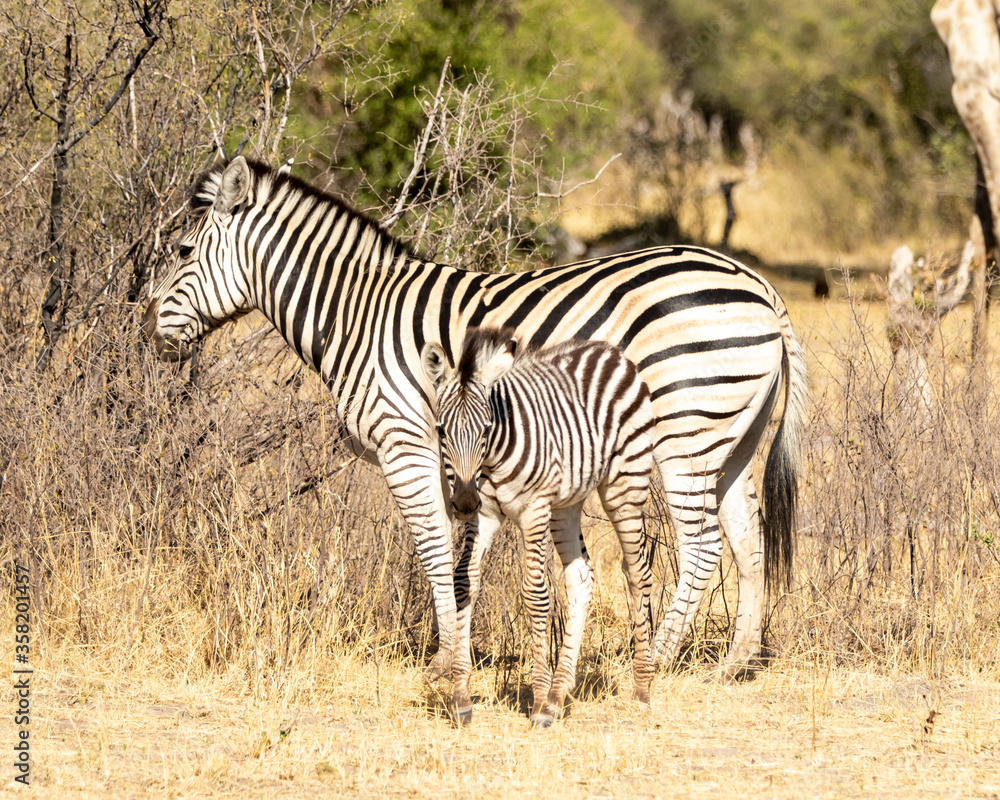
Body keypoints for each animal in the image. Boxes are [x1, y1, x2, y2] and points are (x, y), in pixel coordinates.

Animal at [421, 327, 656, 727]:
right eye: (441, 430)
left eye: (486, 428)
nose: (464, 502)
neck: (492, 459)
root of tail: (610, 351)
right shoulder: (485, 514)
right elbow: (463, 581)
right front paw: (462, 698)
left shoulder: (533, 510)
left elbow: (535, 593)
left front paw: (537, 699)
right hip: (566, 505)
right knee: (581, 577)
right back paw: (560, 696)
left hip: (625, 483)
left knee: (638, 574)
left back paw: (640, 690)